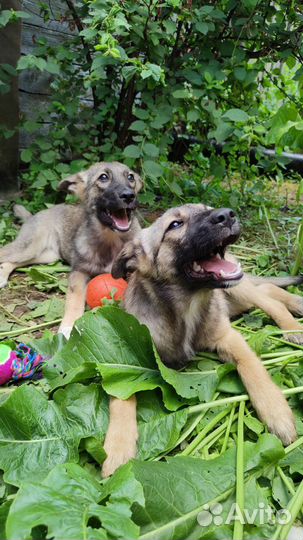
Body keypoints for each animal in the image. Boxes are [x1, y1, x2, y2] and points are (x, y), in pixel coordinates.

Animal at [0, 161, 142, 338]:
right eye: (103, 177)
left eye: (131, 177)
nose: (129, 196)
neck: (111, 239)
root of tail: (34, 215)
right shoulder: (78, 272)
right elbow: (75, 298)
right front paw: (69, 326)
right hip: (29, 247)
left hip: (47, 255)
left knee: (13, 261)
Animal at [102, 202, 302, 476]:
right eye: (175, 224)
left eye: (208, 208)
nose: (227, 215)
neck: (188, 305)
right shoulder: (128, 354)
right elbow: (121, 396)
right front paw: (117, 449)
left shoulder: (228, 336)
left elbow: (253, 368)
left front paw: (277, 412)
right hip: (234, 299)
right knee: (267, 290)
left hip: (238, 288)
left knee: (269, 298)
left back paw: (293, 323)